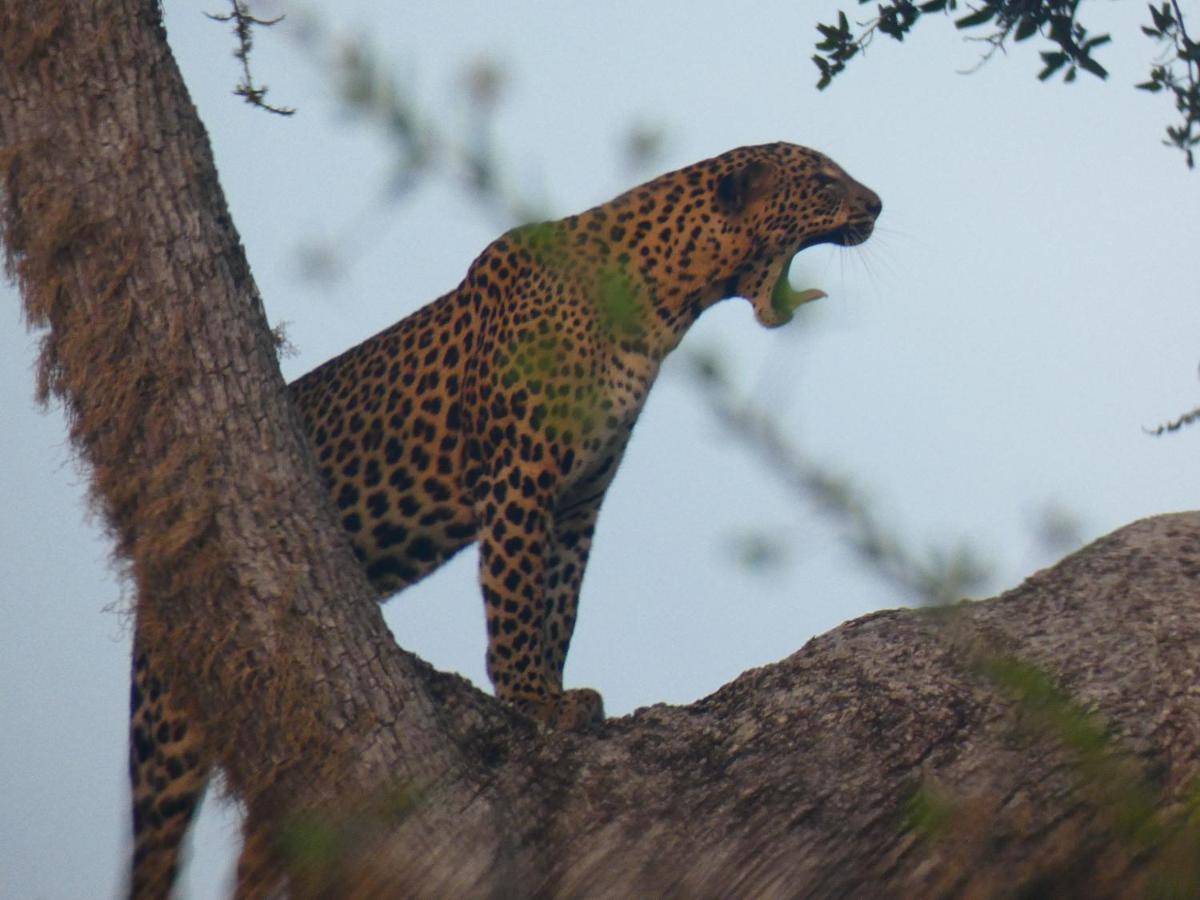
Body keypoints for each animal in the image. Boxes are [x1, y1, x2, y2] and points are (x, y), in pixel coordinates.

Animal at [129, 144, 883, 897]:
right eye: (824, 180)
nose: (878, 205)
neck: (661, 305)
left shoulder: (579, 501)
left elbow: (558, 603)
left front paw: (553, 692)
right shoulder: (521, 472)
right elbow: (516, 595)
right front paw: (530, 697)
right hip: (165, 715)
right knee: (156, 838)